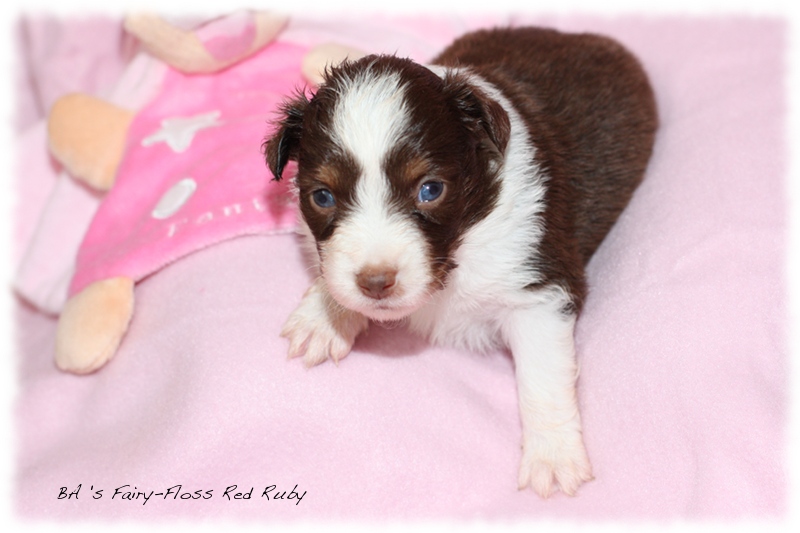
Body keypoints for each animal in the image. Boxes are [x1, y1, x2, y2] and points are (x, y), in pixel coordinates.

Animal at [262, 27, 656, 496]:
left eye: (430, 190)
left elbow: (542, 379)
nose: (376, 282)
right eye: (322, 196)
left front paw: (553, 456)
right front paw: (324, 316)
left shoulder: (537, 290)